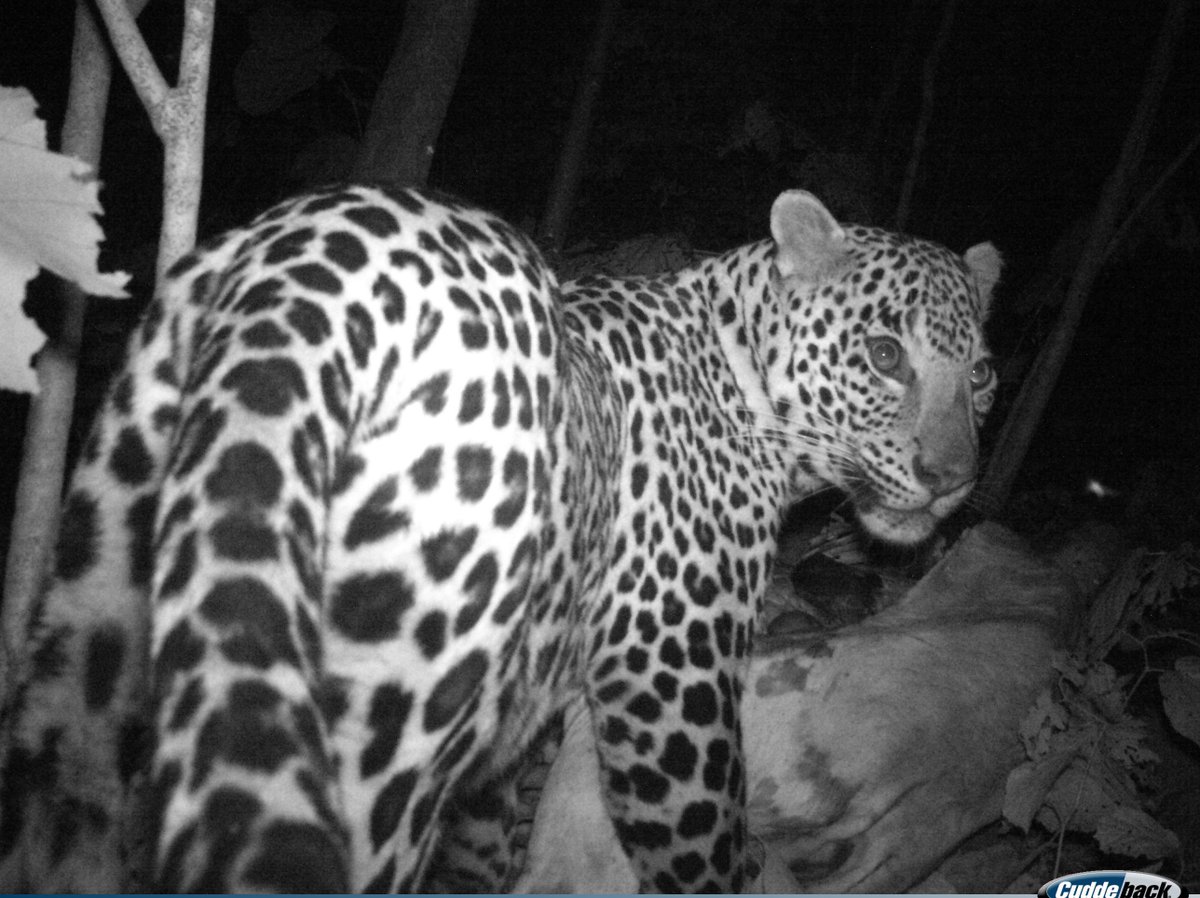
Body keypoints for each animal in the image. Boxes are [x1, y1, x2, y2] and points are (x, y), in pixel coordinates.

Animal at [0, 182, 1000, 893]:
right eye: (884, 356)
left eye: (984, 376)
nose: (953, 477)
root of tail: (315, 244)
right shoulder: (666, 676)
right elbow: (707, 848)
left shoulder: (511, 732)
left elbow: (483, 843)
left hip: (93, 621)